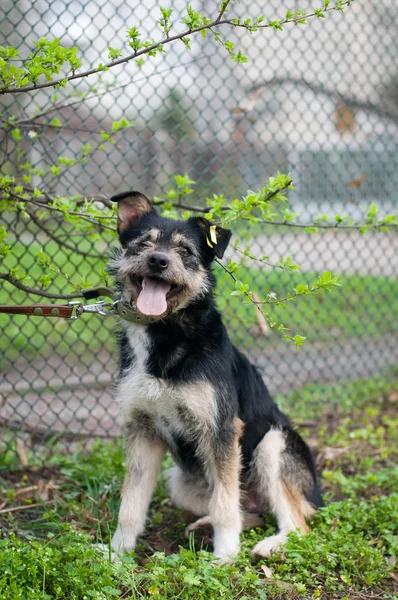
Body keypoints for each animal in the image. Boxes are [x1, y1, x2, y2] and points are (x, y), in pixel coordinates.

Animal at [109, 191, 324, 564]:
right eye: (143, 243)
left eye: (185, 251)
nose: (157, 261)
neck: (167, 334)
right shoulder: (142, 429)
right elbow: (131, 504)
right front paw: (116, 553)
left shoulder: (220, 429)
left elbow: (225, 506)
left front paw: (224, 556)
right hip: (178, 481)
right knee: (247, 511)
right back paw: (204, 526)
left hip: (272, 445)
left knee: (294, 524)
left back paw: (268, 544)